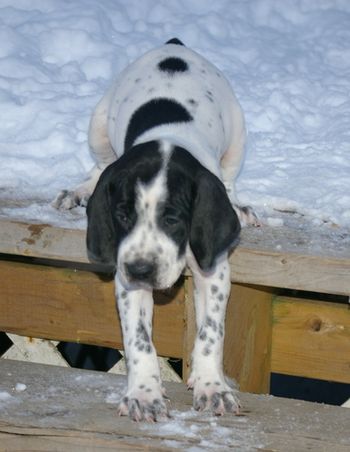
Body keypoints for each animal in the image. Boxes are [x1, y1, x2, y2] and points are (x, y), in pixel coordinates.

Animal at [54, 38, 258, 420]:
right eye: (122, 216)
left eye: (173, 219)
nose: (141, 269)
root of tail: (173, 44)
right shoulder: (127, 281)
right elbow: (139, 341)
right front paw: (144, 394)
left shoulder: (214, 271)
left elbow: (211, 333)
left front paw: (212, 386)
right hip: (98, 125)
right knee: (99, 167)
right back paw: (78, 190)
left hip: (238, 133)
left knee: (230, 177)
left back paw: (238, 204)